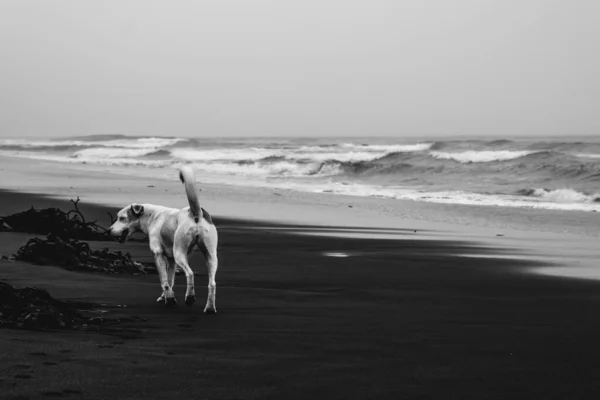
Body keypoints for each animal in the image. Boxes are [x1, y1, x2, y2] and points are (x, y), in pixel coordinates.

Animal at [109, 166, 219, 312]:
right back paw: (210, 308)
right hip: (210, 256)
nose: (108, 230)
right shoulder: (171, 260)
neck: (151, 216)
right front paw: (166, 297)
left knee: (190, 273)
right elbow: (170, 280)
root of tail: (196, 213)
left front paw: (170, 299)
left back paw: (189, 298)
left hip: (180, 254)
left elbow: (164, 281)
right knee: (212, 283)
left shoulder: (158, 254)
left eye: (121, 218)